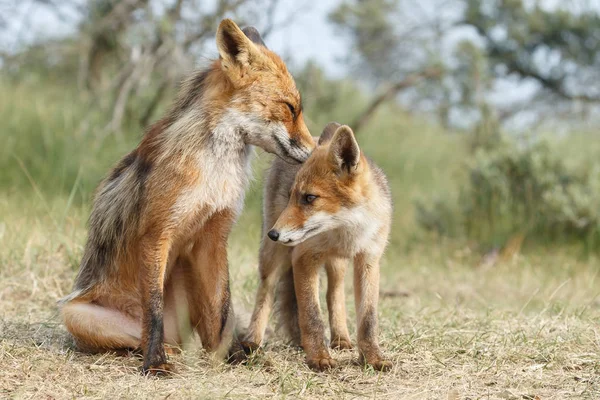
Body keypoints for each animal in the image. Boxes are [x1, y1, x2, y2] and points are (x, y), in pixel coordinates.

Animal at [58, 18, 316, 376]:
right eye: (290, 108)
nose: (316, 152)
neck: (214, 173)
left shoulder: (214, 236)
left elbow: (222, 310)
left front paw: (232, 357)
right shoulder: (156, 234)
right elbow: (152, 310)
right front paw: (154, 364)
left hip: (188, 268)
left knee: (202, 334)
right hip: (76, 314)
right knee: (139, 338)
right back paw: (158, 352)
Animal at [245, 122, 394, 372]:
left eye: (309, 198)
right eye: (291, 196)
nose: (273, 234)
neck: (346, 234)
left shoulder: (369, 260)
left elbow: (368, 319)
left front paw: (372, 358)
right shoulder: (304, 257)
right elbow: (311, 315)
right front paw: (318, 357)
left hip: (338, 265)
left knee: (334, 293)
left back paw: (341, 337)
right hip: (273, 257)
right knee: (266, 291)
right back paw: (252, 342)